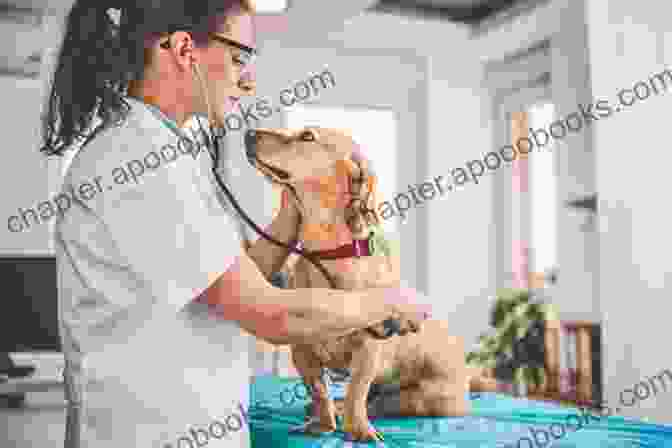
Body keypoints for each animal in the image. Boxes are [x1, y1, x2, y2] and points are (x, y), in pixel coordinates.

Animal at [244, 126, 480, 440]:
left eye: (307, 136)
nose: (247, 133)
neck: (326, 255)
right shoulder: (302, 352)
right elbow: (318, 390)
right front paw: (321, 423)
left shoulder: (368, 348)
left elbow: (357, 389)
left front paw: (358, 429)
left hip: (429, 398)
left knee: (385, 402)